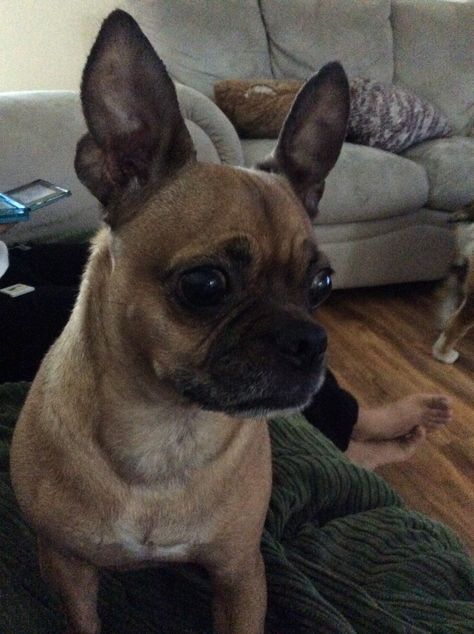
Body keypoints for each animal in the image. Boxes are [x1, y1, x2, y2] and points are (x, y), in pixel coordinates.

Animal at [9, 9, 350, 632]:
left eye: (323, 286)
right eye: (204, 285)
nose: (308, 341)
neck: (168, 430)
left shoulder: (240, 573)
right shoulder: (67, 568)